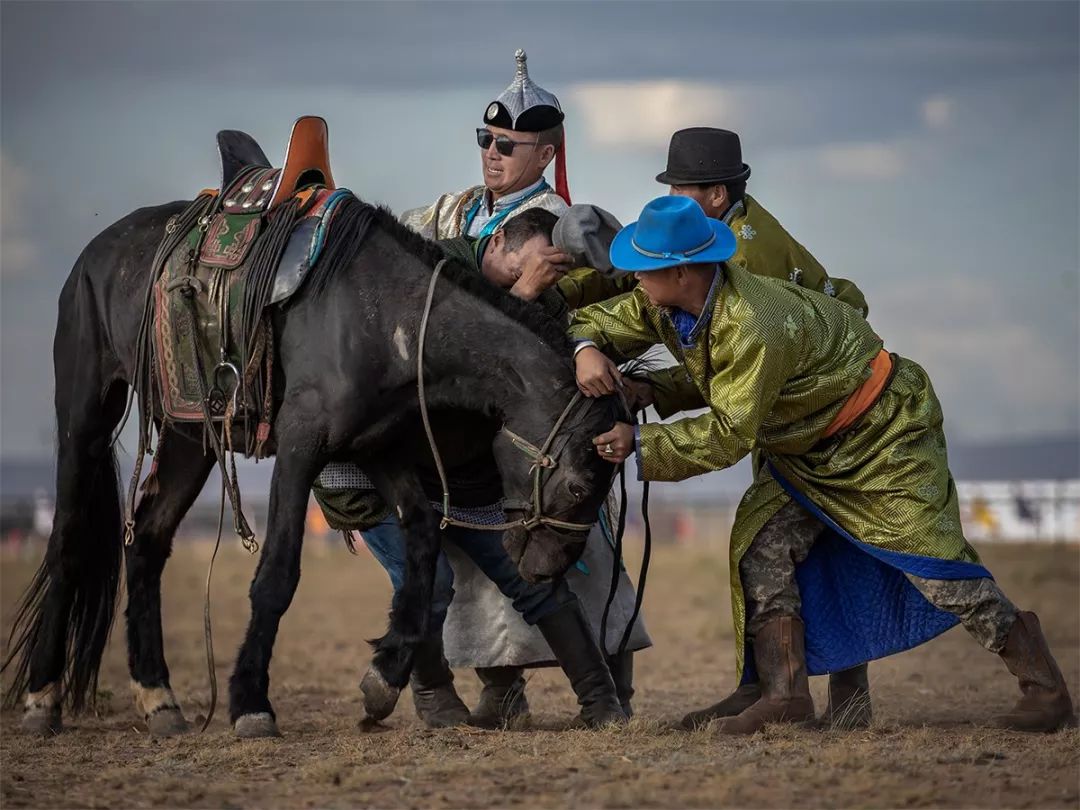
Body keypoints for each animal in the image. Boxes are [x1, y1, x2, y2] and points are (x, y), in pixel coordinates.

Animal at [0, 195, 622, 734]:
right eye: (577, 485)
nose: (546, 568)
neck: (384, 317)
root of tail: (97, 252)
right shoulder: (301, 445)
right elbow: (277, 574)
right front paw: (251, 702)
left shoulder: (379, 446)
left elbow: (422, 542)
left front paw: (384, 677)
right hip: (84, 412)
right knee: (69, 541)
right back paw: (42, 699)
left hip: (188, 437)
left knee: (147, 541)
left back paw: (159, 698)